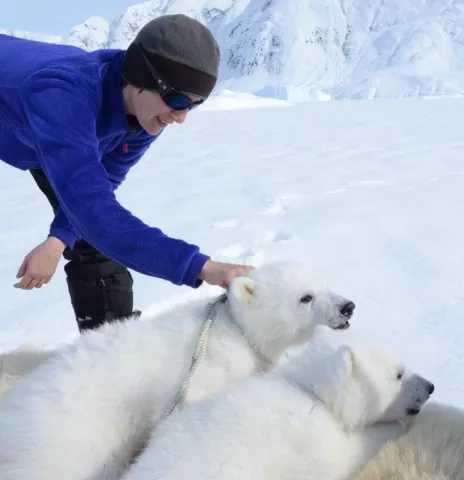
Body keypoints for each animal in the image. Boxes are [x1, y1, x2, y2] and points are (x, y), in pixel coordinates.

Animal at [0, 262, 354, 480]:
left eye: (323, 284)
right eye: (305, 297)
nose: (347, 307)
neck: (234, 330)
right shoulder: (205, 372)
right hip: (66, 442)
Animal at [118, 322, 436, 480]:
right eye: (398, 374)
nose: (430, 386)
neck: (308, 392)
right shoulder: (313, 443)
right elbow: (352, 450)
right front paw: (395, 427)